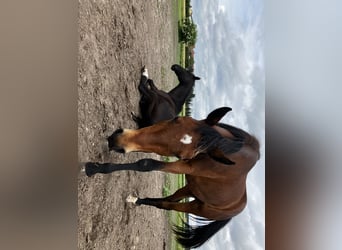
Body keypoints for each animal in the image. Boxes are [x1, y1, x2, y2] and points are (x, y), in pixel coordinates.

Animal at [85, 107, 260, 248]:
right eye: (177, 119)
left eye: (181, 155)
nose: (118, 140)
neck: (230, 149)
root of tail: (238, 208)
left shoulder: (187, 166)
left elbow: (146, 164)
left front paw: (94, 168)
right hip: (190, 189)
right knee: (169, 198)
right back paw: (137, 200)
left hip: (197, 207)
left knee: (168, 205)